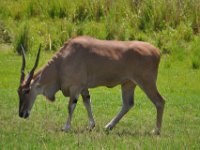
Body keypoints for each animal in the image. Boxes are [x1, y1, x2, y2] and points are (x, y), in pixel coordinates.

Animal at [17, 35, 165, 134]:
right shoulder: (83, 88)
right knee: (128, 104)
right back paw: (109, 126)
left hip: (146, 82)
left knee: (160, 101)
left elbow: (71, 106)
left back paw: (156, 131)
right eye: (19, 91)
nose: (22, 113)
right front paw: (91, 125)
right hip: (128, 84)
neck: (63, 59)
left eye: (27, 90)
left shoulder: (75, 88)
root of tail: (157, 51)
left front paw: (66, 127)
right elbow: (87, 102)